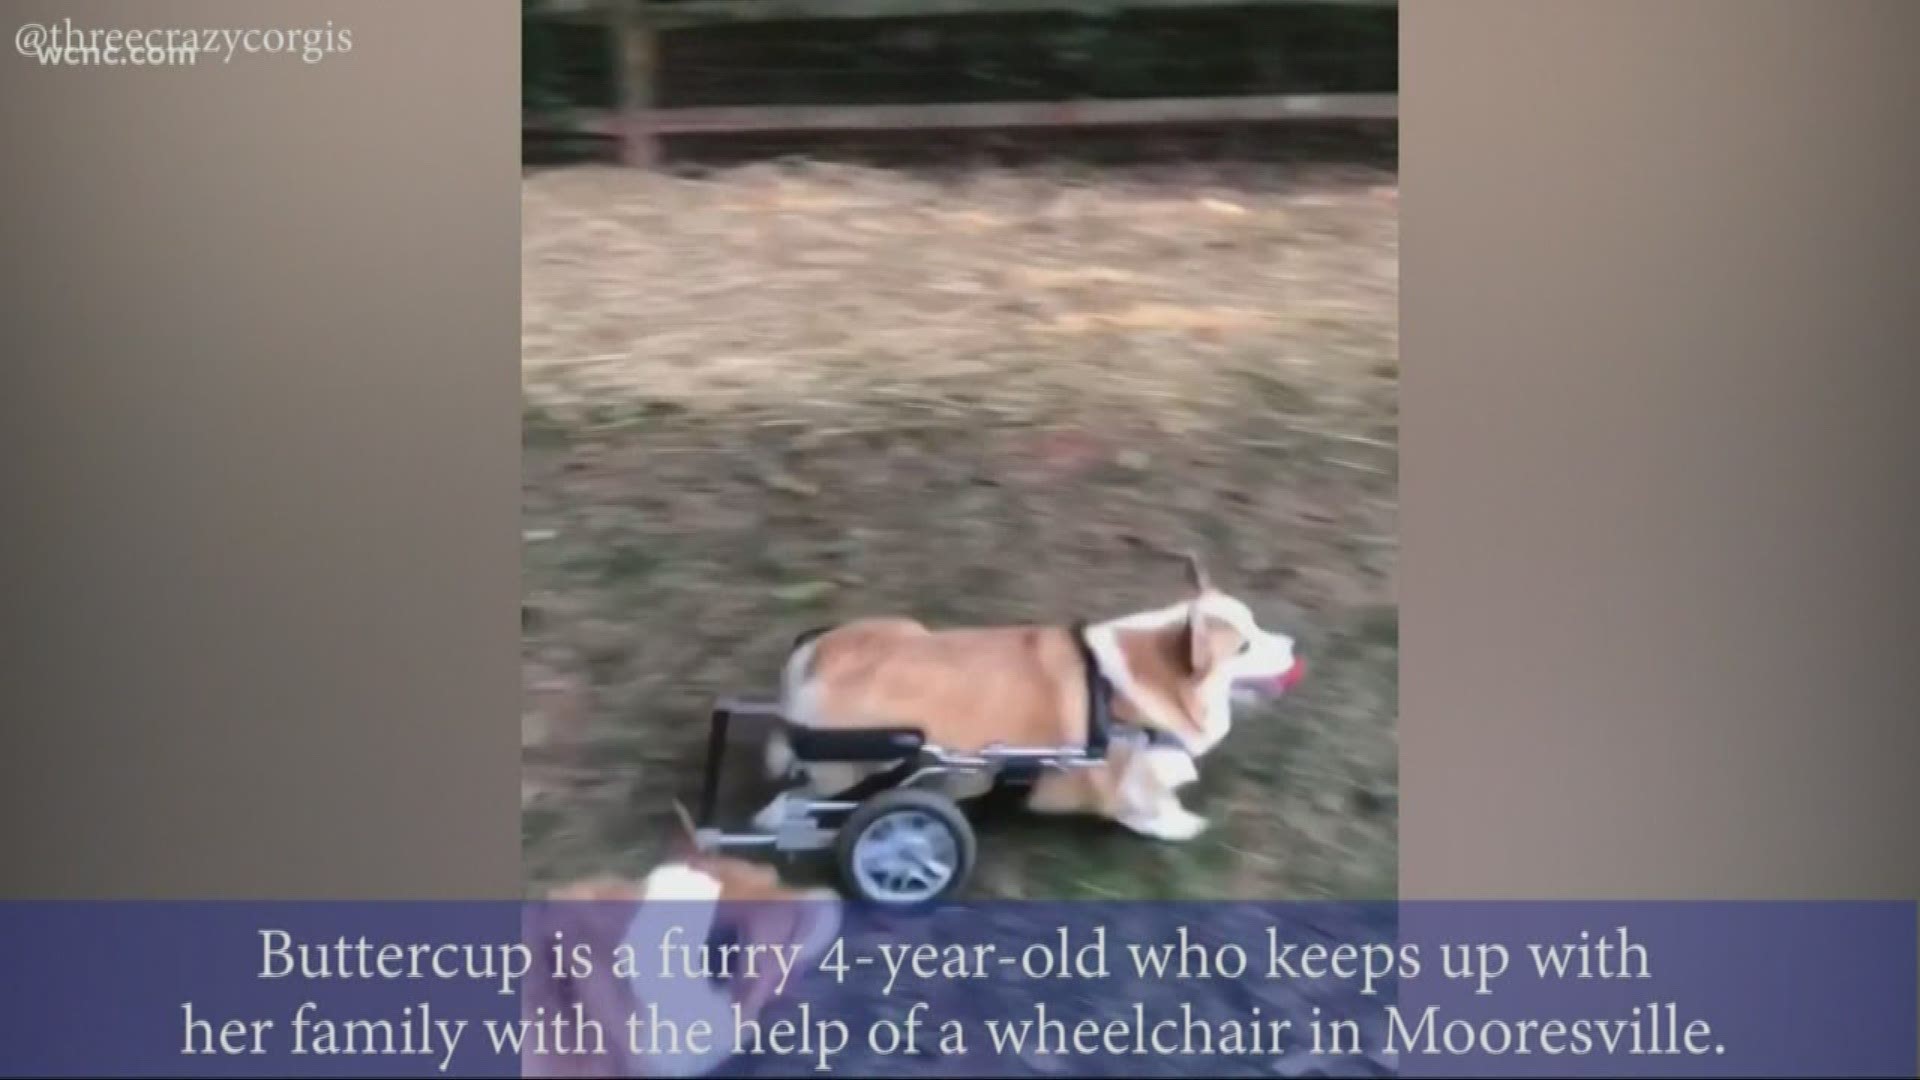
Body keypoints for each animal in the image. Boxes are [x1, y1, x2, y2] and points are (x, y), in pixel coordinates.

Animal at [756, 553, 1297, 841]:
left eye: (1256, 624)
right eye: (1243, 647)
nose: (1295, 647)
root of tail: (809, 661)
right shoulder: (1133, 783)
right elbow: (1156, 812)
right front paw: (1190, 826)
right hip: (857, 765)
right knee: (804, 800)